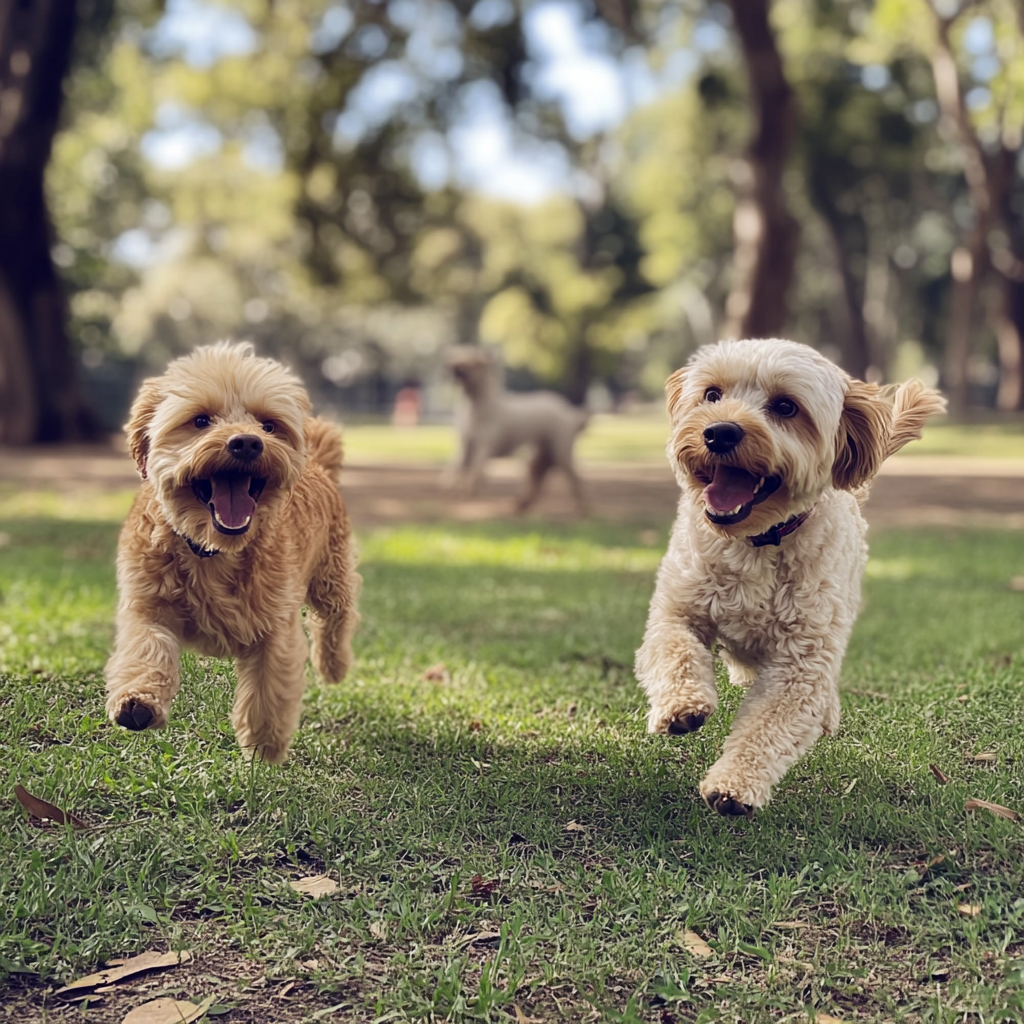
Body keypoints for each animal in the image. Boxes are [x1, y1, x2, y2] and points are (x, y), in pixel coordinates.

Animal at [104, 339, 360, 765]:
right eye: (200, 420)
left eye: (268, 425)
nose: (247, 442)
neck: (211, 550)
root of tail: (319, 466)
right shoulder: (147, 603)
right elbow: (147, 647)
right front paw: (138, 702)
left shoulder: (275, 624)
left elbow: (269, 685)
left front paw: (265, 743)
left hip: (331, 577)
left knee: (337, 620)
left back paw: (334, 666)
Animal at [442, 346, 593, 512]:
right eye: (457, 356)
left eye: (475, 362)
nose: (453, 367)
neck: (477, 407)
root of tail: (570, 414)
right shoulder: (465, 447)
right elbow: (456, 469)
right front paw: (452, 490)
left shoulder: (484, 447)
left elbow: (475, 473)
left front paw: (468, 494)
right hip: (541, 454)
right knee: (539, 478)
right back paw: (522, 504)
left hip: (561, 451)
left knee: (574, 479)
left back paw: (582, 508)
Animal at [634, 339, 946, 819]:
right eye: (711, 394)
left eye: (785, 407)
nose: (719, 432)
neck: (755, 542)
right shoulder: (677, 610)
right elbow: (675, 650)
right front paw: (682, 706)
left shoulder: (801, 664)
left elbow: (769, 726)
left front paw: (734, 785)